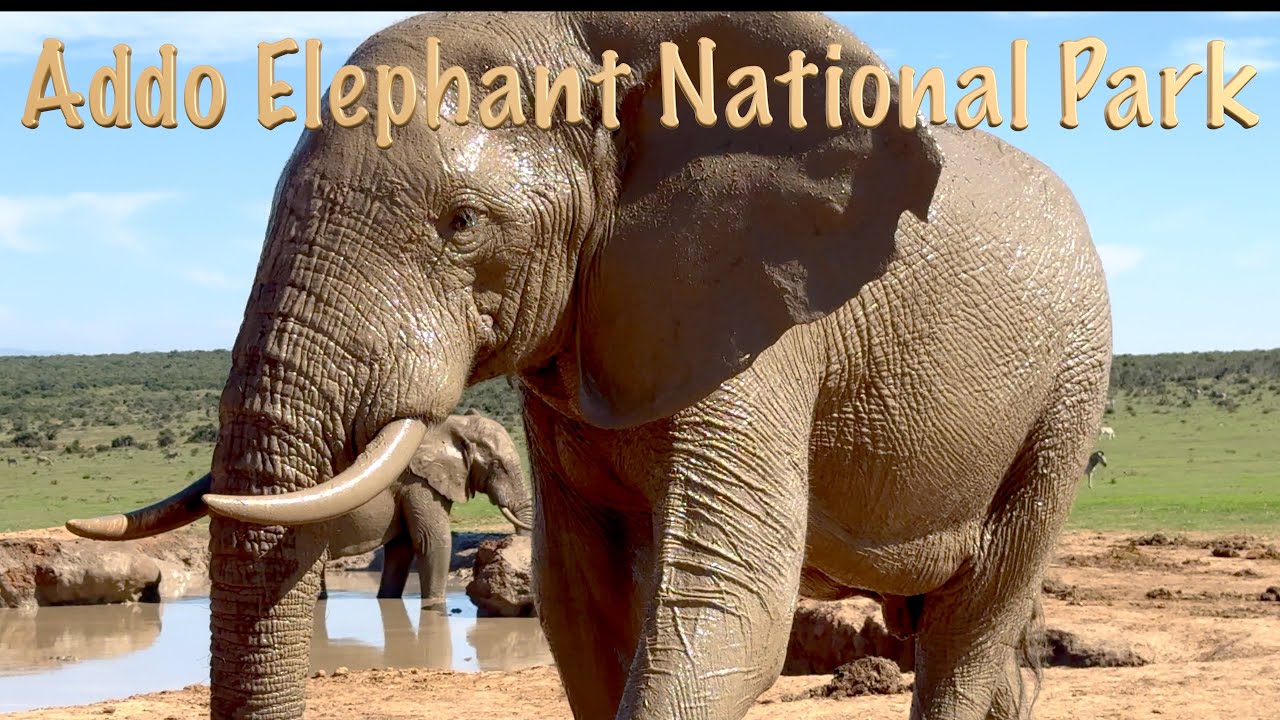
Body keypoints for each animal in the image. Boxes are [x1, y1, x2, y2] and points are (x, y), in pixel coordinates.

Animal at [65, 11, 1112, 720]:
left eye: (462, 223)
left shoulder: (760, 322)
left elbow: (726, 604)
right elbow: (581, 599)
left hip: (1069, 391)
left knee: (969, 623)